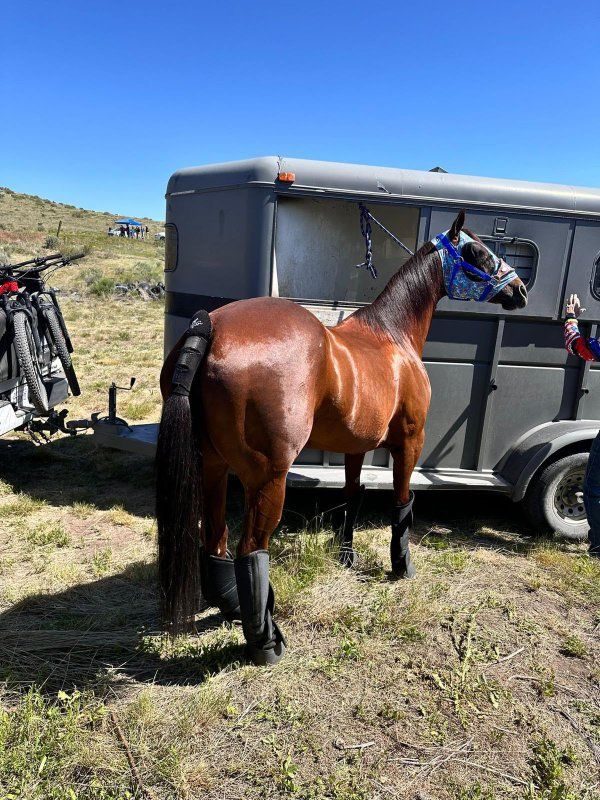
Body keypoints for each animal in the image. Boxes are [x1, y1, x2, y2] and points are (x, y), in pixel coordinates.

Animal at [156, 210, 528, 666]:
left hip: (212, 468)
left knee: (215, 541)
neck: (392, 335)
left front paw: (346, 556)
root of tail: (210, 326)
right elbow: (403, 503)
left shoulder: (357, 447)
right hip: (267, 480)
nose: (520, 289)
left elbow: (352, 494)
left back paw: (233, 608)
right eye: (478, 251)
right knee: (250, 551)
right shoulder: (411, 441)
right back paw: (266, 643)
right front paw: (402, 566)